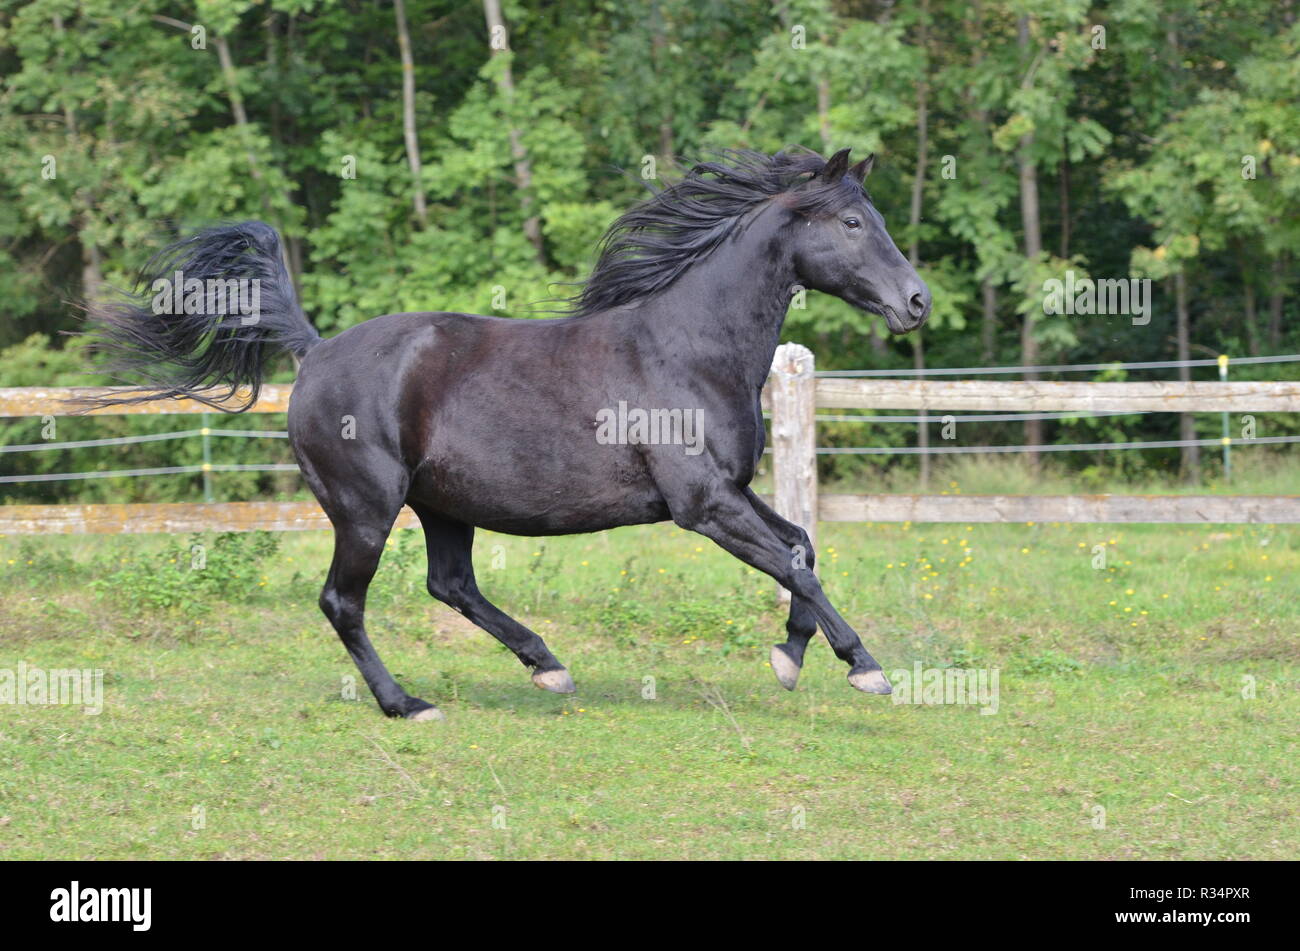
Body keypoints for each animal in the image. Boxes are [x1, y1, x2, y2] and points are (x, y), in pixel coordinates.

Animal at [83, 147, 931, 720]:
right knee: (343, 602)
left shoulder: (731, 491)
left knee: (451, 583)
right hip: (366, 509)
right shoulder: (703, 505)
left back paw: (547, 665)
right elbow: (797, 565)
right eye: (853, 222)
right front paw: (864, 667)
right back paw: (408, 702)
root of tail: (314, 350)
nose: (917, 301)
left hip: (442, 504)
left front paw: (790, 657)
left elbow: (802, 548)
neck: (690, 347)